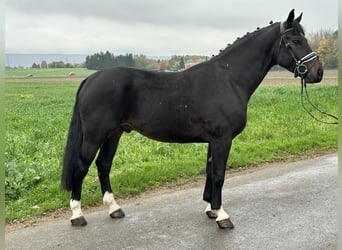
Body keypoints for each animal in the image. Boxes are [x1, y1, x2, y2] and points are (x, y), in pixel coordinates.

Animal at [62, 9, 324, 229]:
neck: (229, 79)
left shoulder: (213, 140)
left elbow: (210, 172)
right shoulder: (222, 139)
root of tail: (90, 79)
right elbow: (219, 175)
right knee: (81, 167)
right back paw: (77, 215)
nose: (318, 72)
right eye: (296, 41)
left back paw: (114, 209)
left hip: (114, 133)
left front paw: (211, 209)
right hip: (95, 135)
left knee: (103, 165)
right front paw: (222, 216)